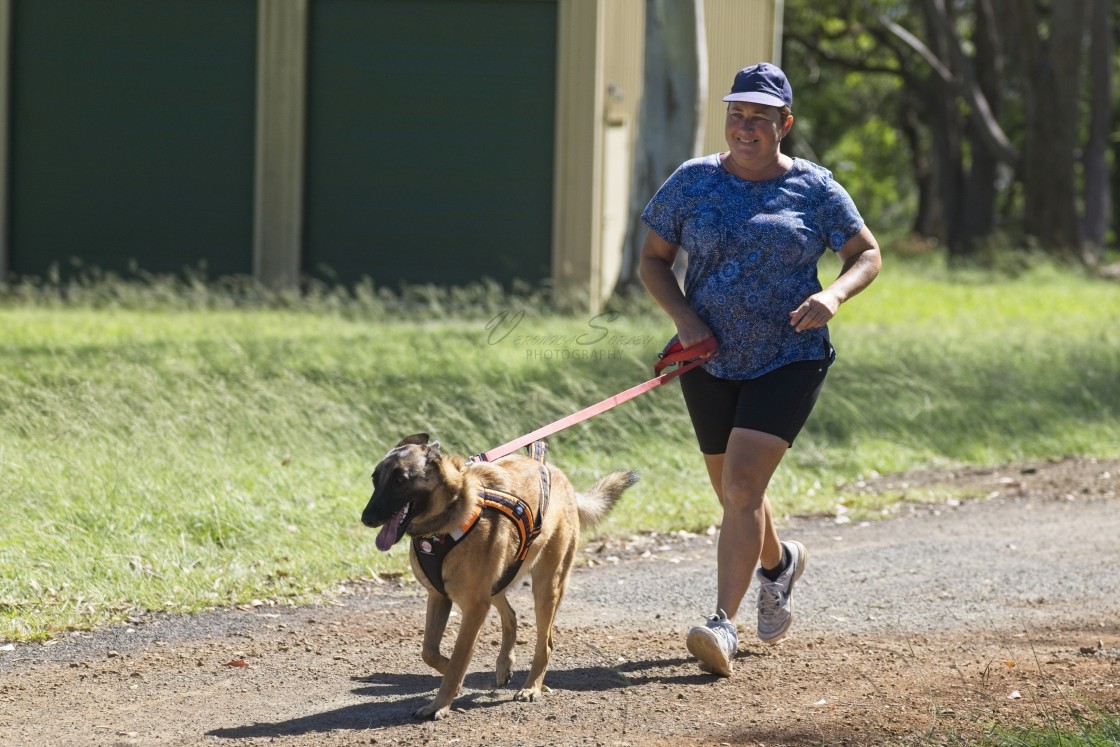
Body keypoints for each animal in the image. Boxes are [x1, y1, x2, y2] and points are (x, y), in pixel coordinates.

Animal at [362, 434, 636, 721]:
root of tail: (558, 475)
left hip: (545, 586)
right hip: (496, 583)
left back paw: (532, 687)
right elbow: (429, 651)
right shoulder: (440, 597)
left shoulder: (474, 608)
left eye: (400, 480)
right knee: (511, 615)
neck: (448, 516)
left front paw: (441, 702)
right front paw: (452, 674)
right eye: (375, 479)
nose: (366, 518)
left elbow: (459, 657)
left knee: (545, 644)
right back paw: (505, 666)